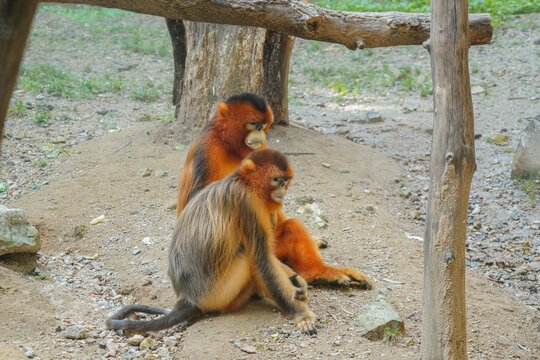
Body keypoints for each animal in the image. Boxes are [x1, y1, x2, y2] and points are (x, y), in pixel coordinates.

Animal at [106, 149, 316, 334]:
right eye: (275, 180)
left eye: (285, 180)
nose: (282, 188)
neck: (243, 182)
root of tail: (188, 298)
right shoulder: (247, 202)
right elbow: (261, 259)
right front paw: (301, 314)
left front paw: (297, 281)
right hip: (217, 293)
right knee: (247, 256)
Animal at [176, 93, 372, 290]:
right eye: (254, 124)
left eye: (263, 124)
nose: (260, 130)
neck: (229, 145)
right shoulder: (208, 147)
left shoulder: (261, 149)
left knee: (292, 226)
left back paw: (319, 273)